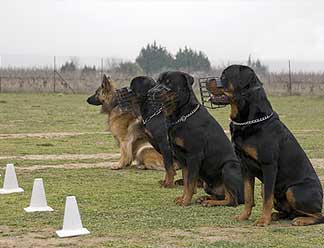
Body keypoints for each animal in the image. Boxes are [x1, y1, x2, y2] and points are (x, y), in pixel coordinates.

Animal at [150, 70, 246, 206]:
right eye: (158, 82)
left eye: (169, 83)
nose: (151, 92)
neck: (180, 115)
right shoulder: (182, 158)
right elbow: (186, 181)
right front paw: (183, 198)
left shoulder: (194, 156)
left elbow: (190, 182)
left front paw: (186, 201)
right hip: (207, 185)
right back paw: (205, 198)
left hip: (228, 168)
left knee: (233, 200)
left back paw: (210, 202)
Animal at [208, 64, 324, 227]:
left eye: (224, 76)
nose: (207, 81)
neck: (248, 120)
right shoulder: (245, 167)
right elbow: (249, 196)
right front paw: (243, 216)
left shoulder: (269, 165)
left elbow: (267, 200)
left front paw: (263, 220)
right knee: (290, 212)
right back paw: (277, 215)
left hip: (293, 190)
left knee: (318, 215)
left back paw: (301, 219)